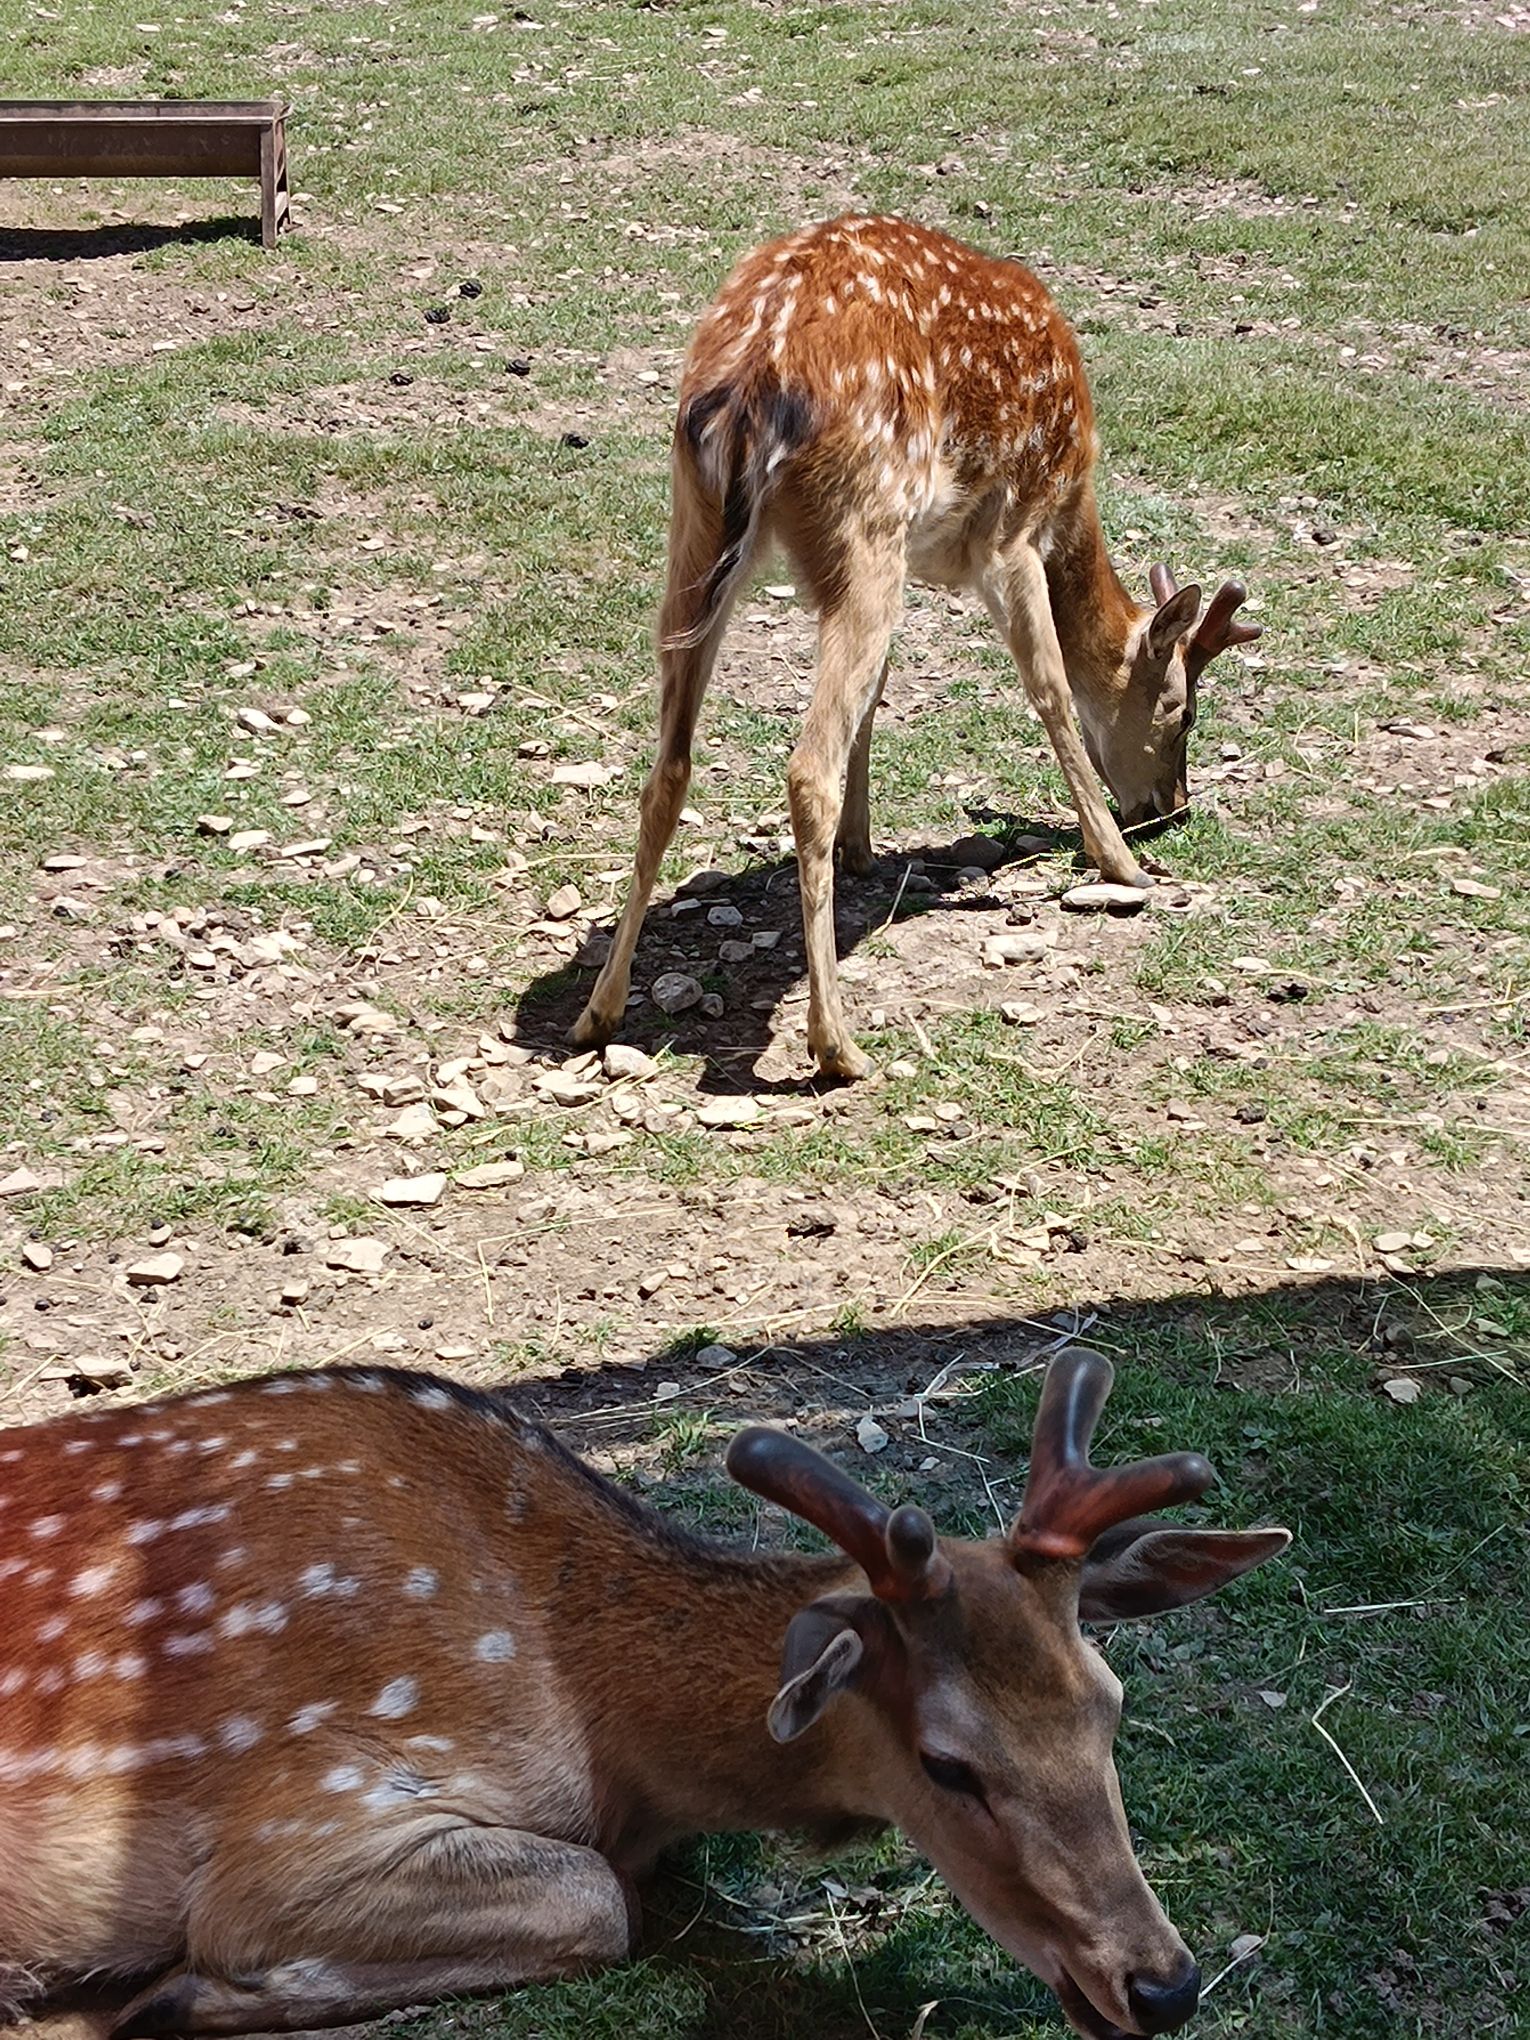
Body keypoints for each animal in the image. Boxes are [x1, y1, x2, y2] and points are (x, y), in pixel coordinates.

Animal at [0, 1349, 1288, 2040]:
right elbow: (596, 1903)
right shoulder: (304, 1823)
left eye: (1109, 1706)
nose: (1162, 1984)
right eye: (946, 1762)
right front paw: (163, 1995)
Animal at [571, 215, 1261, 1079]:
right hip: (867, 517)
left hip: (699, 524)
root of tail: (754, 375)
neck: (1073, 498)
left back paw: (598, 1011)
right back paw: (836, 1045)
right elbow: (1050, 688)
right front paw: (1120, 862)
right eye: (1182, 710)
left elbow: (881, 691)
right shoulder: (1011, 530)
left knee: (669, 765)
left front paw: (864, 848)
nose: (1170, 807)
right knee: (806, 768)